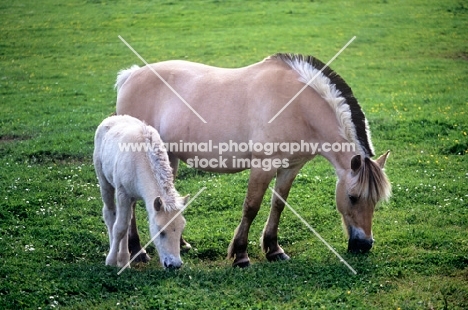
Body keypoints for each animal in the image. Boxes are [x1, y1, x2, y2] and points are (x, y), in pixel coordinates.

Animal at [114, 52, 392, 266]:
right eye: (353, 197)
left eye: (376, 200)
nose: (365, 245)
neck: (297, 106)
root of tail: (130, 76)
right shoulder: (263, 166)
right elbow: (251, 207)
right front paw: (240, 255)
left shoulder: (291, 167)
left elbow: (278, 204)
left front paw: (274, 249)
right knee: (134, 204)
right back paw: (137, 251)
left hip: (168, 157)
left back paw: (180, 243)